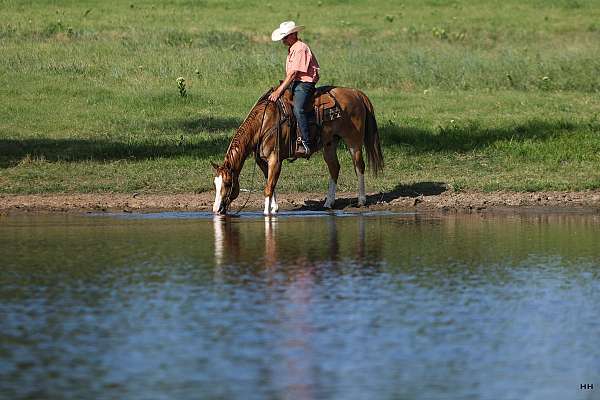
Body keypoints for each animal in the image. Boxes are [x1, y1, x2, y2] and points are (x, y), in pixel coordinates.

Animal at [211, 86, 384, 214]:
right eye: (215, 184)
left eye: (228, 183)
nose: (216, 210)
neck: (264, 123)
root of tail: (357, 93)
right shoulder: (262, 161)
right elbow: (271, 183)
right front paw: (274, 208)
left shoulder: (275, 159)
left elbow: (268, 187)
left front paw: (267, 213)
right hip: (330, 143)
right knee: (334, 168)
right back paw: (328, 202)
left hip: (353, 142)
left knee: (359, 166)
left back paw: (361, 200)